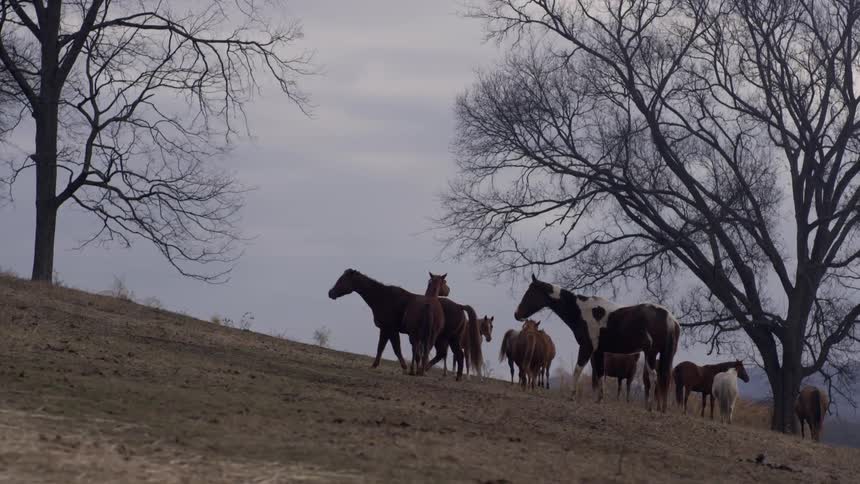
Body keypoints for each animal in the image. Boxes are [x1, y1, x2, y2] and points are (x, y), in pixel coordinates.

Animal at [514, 274, 680, 411]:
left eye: (530, 293)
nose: (517, 314)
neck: (582, 311)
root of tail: (670, 318)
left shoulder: (586, 348)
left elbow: (577, 370)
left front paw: (572, 395)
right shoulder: (599, 351)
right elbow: (600, 373)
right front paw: (599, 399)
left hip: (651, 354)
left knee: (653, 377)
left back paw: (650, 406)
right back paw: (661, 408)